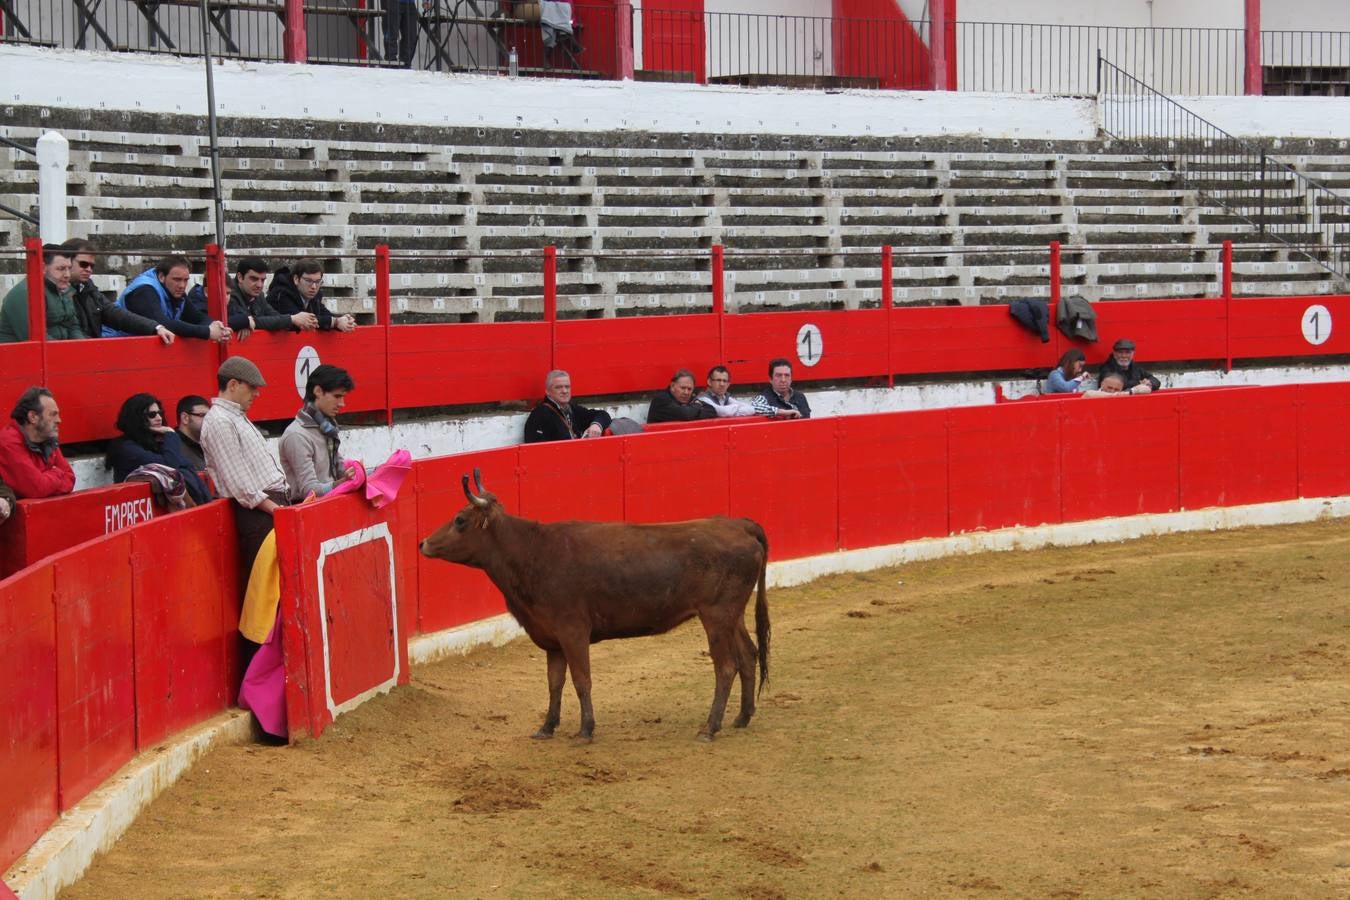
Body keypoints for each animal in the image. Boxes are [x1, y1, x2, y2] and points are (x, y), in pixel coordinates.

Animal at [415, 472, 772, 739]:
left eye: (460, 520)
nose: (423, 543)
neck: (533, 552)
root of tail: (738, 524)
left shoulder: (573, 631)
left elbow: (581, 679)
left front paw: (586, 729)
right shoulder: (552, 639)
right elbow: (554, 682)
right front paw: (547, 727)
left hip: (716, 615)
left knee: (726, 666)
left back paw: (710, 727)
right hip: (732, 615)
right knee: (748, 655)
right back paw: (742, 717)